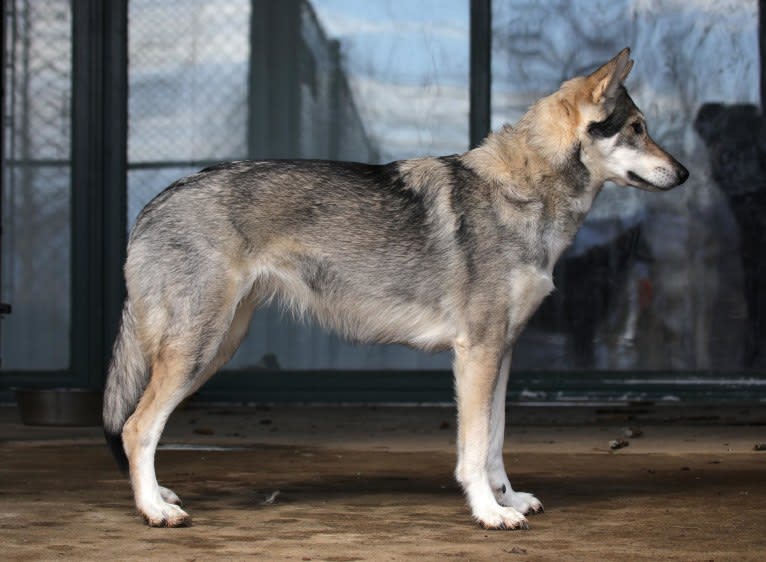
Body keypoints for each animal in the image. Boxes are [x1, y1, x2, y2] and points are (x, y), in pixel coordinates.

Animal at [103, 49, 688, 528]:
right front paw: (488, 513)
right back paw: (153, 509)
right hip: (196, 350)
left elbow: (495, 443)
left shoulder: (502, 353)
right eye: (638, 128)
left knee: (142, 428)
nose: (684, 173)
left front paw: (509, 498)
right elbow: (473, 450)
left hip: (216, 349)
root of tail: (152, 204)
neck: (524, 192)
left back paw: (158, 493)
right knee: (136, 428)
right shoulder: (476, 354)